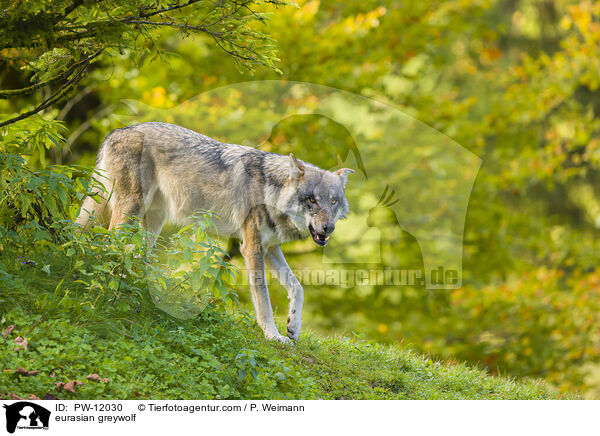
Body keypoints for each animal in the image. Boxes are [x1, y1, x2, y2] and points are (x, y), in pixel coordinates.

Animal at [77, 122, 354, 344]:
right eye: (312, 200)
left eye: (333, 202)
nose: (328, 228)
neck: (271, 190)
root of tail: (115, 132)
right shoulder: (251, 248)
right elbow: (263, 299)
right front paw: (273, 335)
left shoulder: (270, 248)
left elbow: (297, 287)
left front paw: (293, 327)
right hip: (131, 212)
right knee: (111, 243)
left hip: (152, 221)